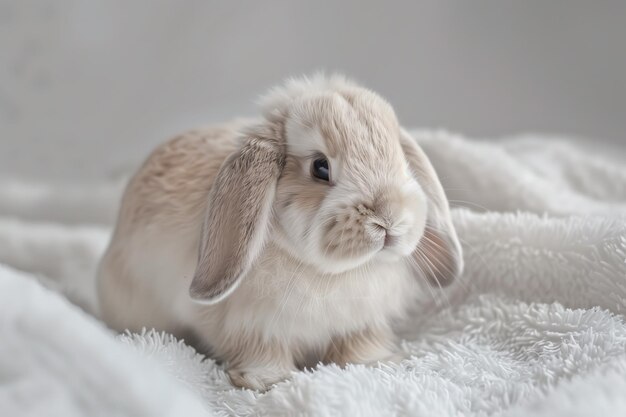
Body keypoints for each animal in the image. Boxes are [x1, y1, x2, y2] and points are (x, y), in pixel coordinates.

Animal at [96, 73, 458, 388]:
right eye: (320, 167)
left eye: (400, 160)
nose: (389, 219)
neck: (331, 273)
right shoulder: (253, 327)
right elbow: (262, 353)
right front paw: (268, 381)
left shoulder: (360, 322)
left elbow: (359, 344)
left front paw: (373, 363)